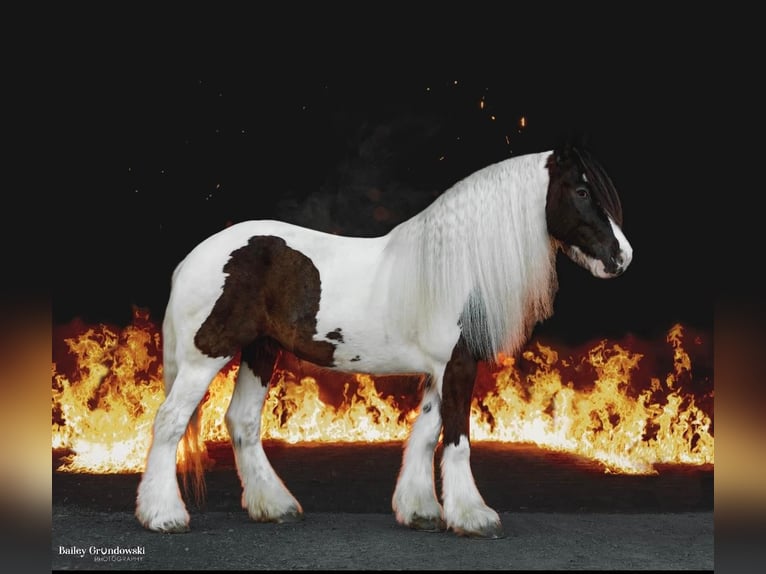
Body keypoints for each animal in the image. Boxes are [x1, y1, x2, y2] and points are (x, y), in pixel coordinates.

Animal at [135, 143, 632, 540]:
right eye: (582, 192)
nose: (622, 257)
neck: (454, 268)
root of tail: (193, 257)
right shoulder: (457, 366)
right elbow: (456, 439)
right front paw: (473, 517)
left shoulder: (439, 370)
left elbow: (426, 434)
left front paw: (421, 511)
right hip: (205, 356)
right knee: (170, 422)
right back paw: (163, 516)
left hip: (261, 351)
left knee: (240, 421)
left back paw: (274, 507)